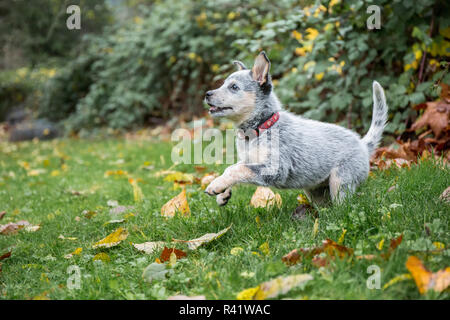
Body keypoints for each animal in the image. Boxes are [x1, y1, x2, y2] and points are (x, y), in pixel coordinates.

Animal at [203, 51, 386, 206]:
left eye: (234, 87)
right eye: (223, 84)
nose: (207, 93)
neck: (260, 129)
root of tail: (363, 145)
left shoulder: (275, 168)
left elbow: (238, 169)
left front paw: (216, 185)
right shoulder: (250, 159)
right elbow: (231, 167)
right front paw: (223, 194)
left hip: (340, 181)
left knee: (343, 206)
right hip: (315, 190)